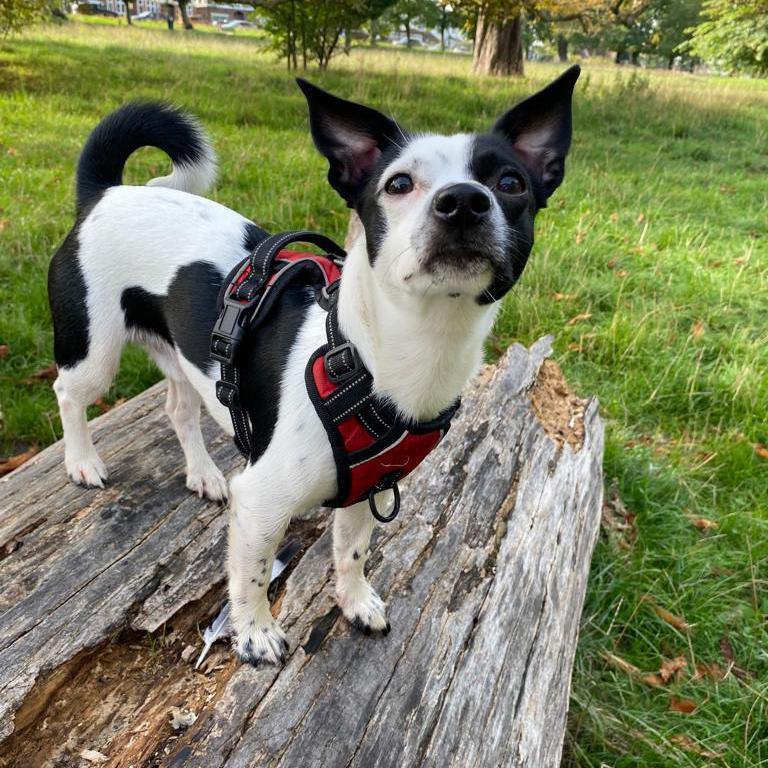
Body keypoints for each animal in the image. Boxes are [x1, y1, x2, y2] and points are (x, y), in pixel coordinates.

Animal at [49, 67, 576, 664]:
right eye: (398, 184)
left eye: (511, 183)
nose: (464, 200)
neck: (378, 356)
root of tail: (107, 192)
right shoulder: (259, 503)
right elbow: (252, 573)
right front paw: (254, 632)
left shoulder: (366, 489)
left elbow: (351, 550)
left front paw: (355, 601)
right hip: (94, 351)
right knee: (68, 394)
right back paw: (83, 461)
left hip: (181, 356)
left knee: (179, 410)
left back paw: (203, 473)